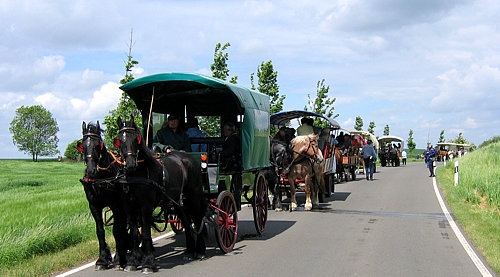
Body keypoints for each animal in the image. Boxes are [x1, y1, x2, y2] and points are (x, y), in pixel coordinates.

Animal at [76, 119, 128, 268]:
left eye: (97, 144)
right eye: (82, 145)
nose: (91, 170)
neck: (100, 178)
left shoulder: (116, 204)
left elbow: (116, 230)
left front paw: (117, 258)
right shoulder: (94, 206)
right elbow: (100, 231)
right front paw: (103, 259)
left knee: (122, 227)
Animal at [114, 114, 209, 272]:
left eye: (136, 139)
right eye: (119, 140)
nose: (131, 164)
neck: (137, 174)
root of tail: (190, 159)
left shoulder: (145, 207)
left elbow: (146, 233)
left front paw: (148, 264)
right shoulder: (129, 207)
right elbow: (134, 233)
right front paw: (132, 262)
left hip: (194, 196)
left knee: (197, 218)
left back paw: (201, 251)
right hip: (178, 201)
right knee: (186, 221)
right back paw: (190, 251)